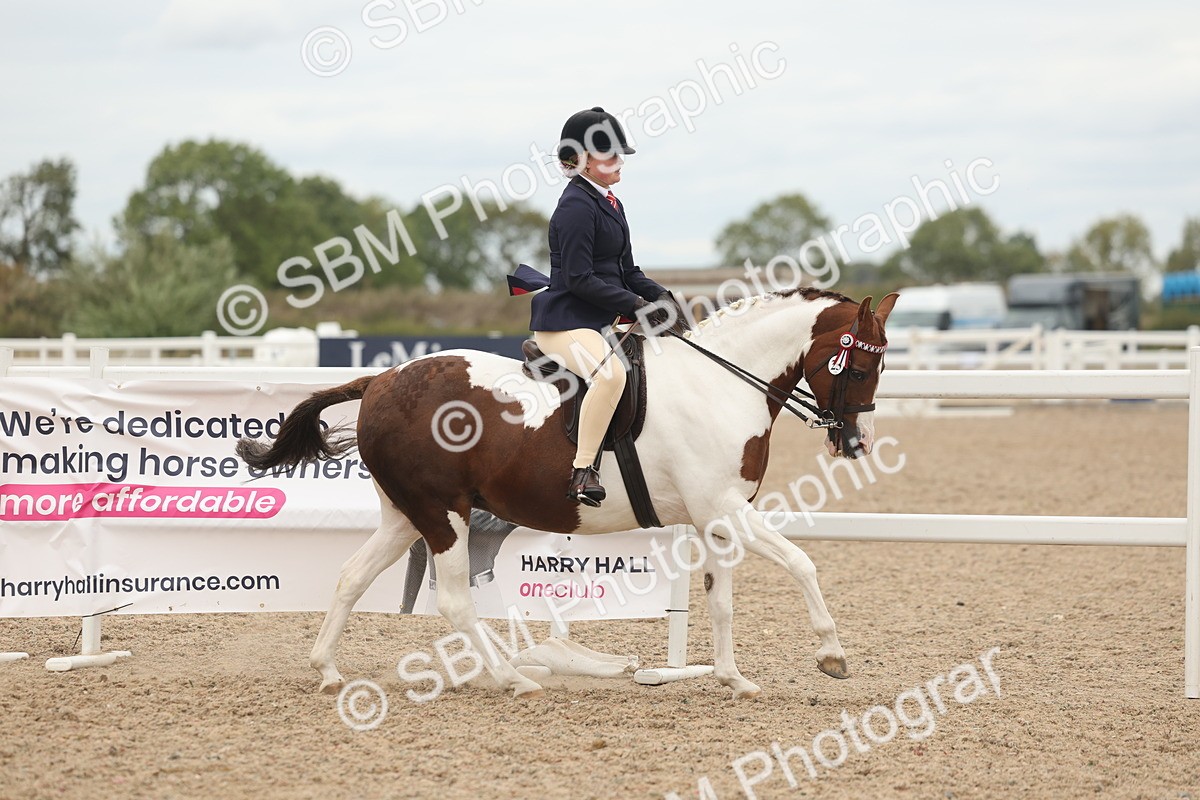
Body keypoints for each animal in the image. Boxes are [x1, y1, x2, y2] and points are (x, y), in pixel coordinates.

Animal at [236, 288, 899, 699]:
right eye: (861, 368)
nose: (857, 441)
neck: (721, 384)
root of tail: (382, 379)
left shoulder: (716, 517)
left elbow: (722, 602)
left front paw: (733, 679)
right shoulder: (726, 511)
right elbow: (804, 563)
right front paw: (832, 655)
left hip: (406, 513)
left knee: (352, 575)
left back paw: (327, 670)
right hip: (442, 514)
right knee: (453, 600)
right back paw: (512, 678)